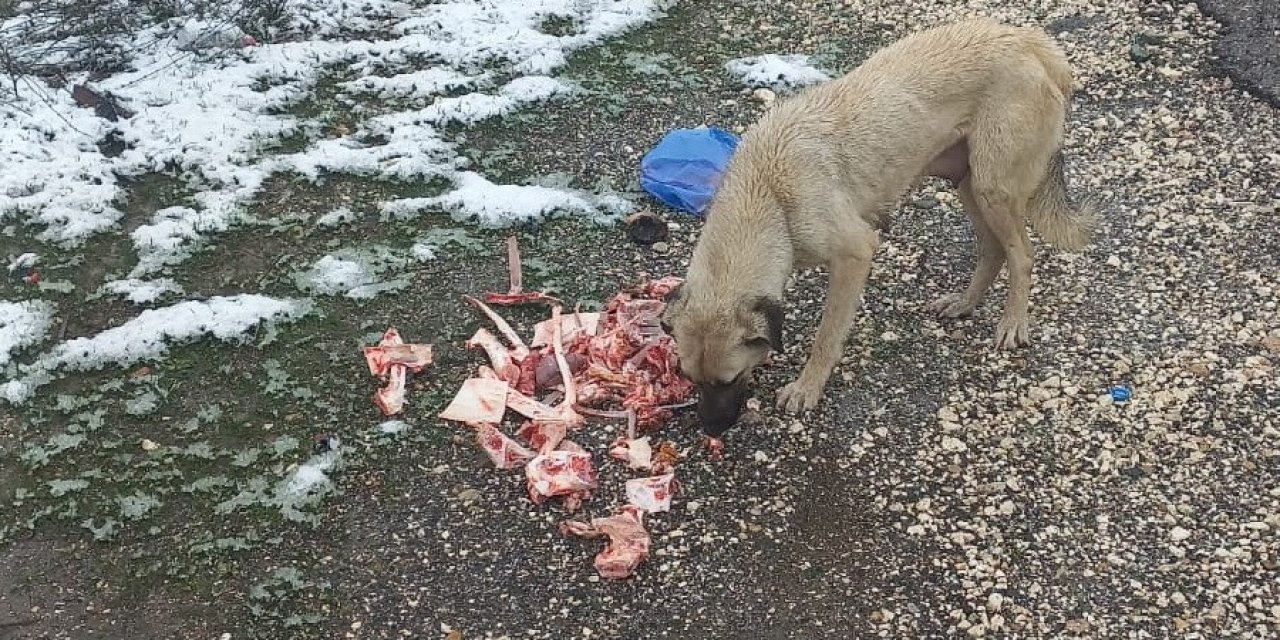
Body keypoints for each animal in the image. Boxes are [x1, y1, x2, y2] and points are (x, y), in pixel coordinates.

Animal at [660, 17, 1100, 435]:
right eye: (690, 378)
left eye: (728, 379)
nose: (710, 429)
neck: (767, 195)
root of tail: (1030, 40)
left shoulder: (855, 253)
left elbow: (827, 335)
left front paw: (807, 387)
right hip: (968, 181)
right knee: (993, 250)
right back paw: (964, 303)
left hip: (994, 187)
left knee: (1021, 255)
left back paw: (1012, 323)